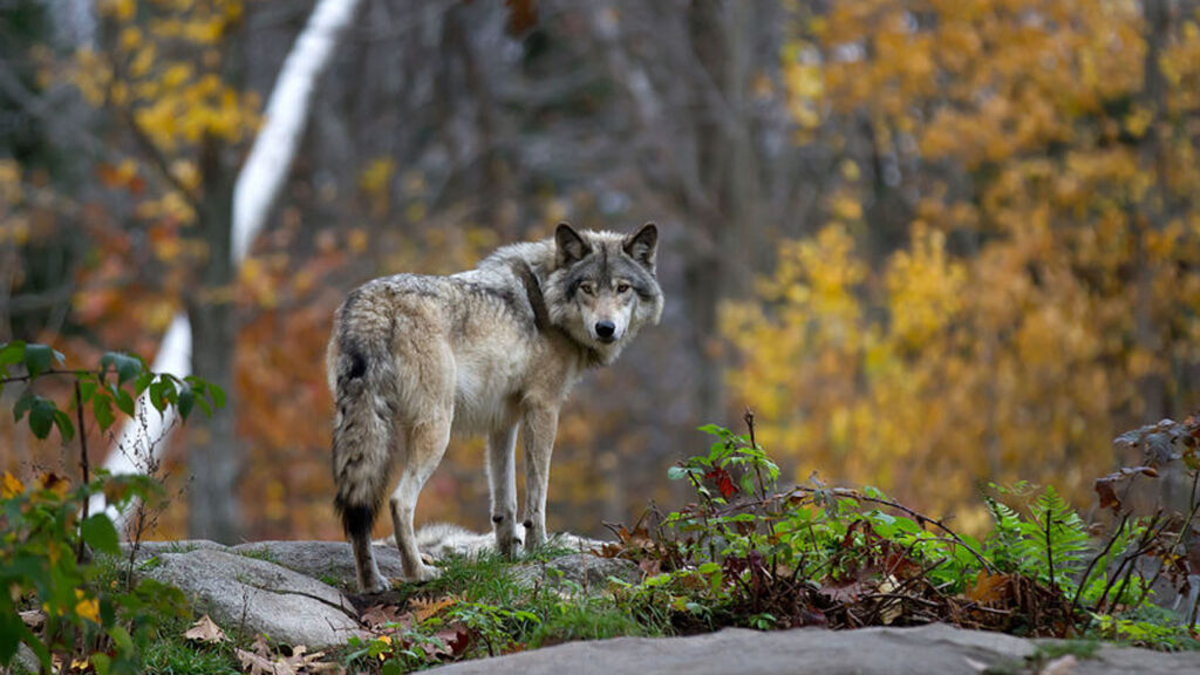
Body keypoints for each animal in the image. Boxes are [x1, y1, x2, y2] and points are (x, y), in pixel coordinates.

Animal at [327, 222, 662, 591]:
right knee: (399, 501)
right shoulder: (543, 408)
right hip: (436, 429)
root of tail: (371, 304)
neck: (545, 298)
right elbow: (537, 495)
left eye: (622, 288)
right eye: (586, 288)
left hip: (364, 427)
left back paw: (371, 582)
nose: (605, 329)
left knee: (358, 509)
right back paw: (420, 573)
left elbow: (505, 502)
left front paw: (508, 557)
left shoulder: (502, 421)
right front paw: (538, 550)